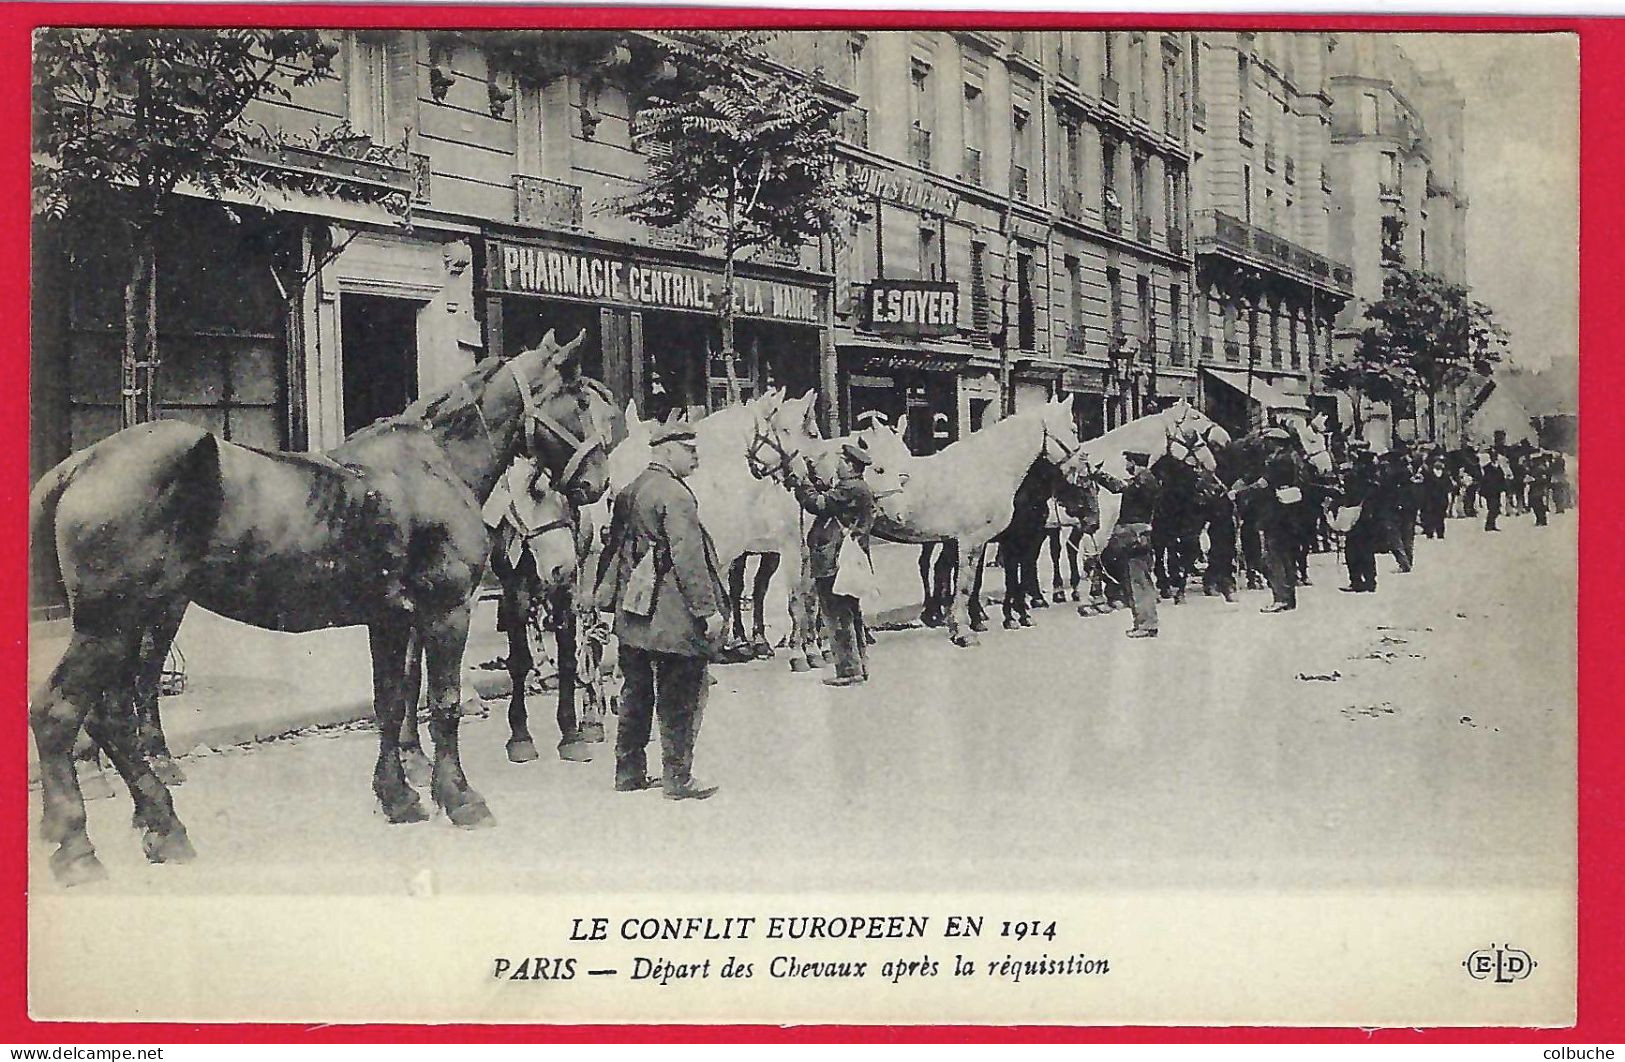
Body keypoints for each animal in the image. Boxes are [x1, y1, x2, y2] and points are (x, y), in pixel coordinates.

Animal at [31, 328, 614, 883]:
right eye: (581, 401)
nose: (597, 483)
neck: (434, 466)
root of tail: (81, 464)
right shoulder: (445, 611)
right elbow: (443, 703)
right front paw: (460, 797)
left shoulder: (390, 619)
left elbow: (390, 702)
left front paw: (398, 796)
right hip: (112, 625)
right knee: (60, 713)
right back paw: (79, 847)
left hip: (131, 624)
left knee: (110, 719)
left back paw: (162, 826)